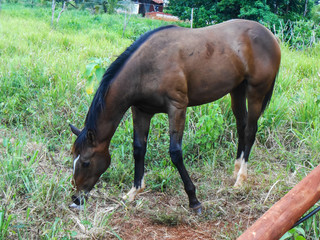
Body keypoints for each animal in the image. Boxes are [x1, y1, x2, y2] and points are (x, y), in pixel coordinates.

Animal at [69, 19, 280, 214]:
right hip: (237, 90)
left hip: (256, 92)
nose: (76, 199)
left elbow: (175, 153)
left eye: (86, 162)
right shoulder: (141, 110)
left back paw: (241, 180)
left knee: (251, 130)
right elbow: (138, 149)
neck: (145, 67)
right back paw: (235, 171)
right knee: (241, 126)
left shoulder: (177, 108)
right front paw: (134, 192)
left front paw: (194, 200)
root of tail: (270, 35)